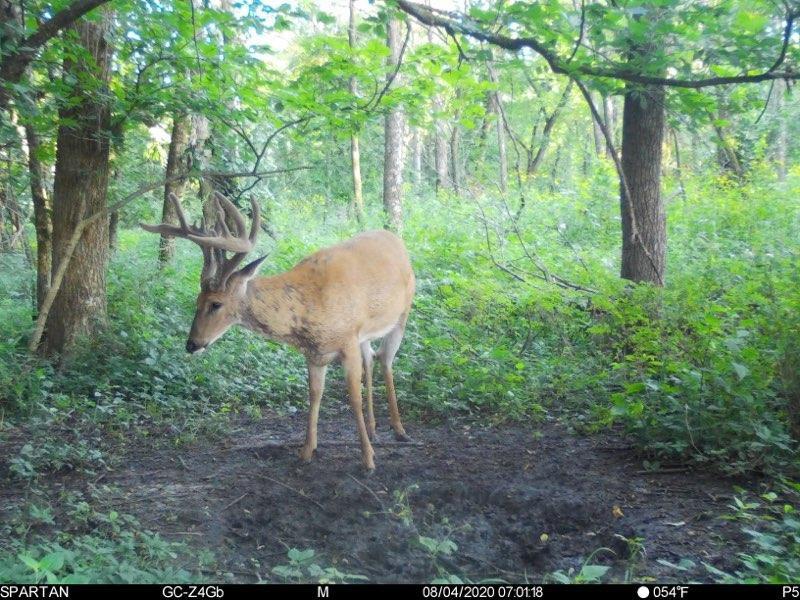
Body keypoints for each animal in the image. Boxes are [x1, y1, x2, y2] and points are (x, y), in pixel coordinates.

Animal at [141, 192, 415, 471]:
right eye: (197, 300)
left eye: (216, 304)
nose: (192, 344)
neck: (311, 307)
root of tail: (395, 238)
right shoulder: (316, 353)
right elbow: (314, 395)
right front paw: (306, 451)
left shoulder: (348, 339)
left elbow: (353, 398)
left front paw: (368, 459)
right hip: (366, 334)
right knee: (371, 358)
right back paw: (373, 428)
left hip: (402, 314)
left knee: (386, 359)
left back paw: (398, 429)